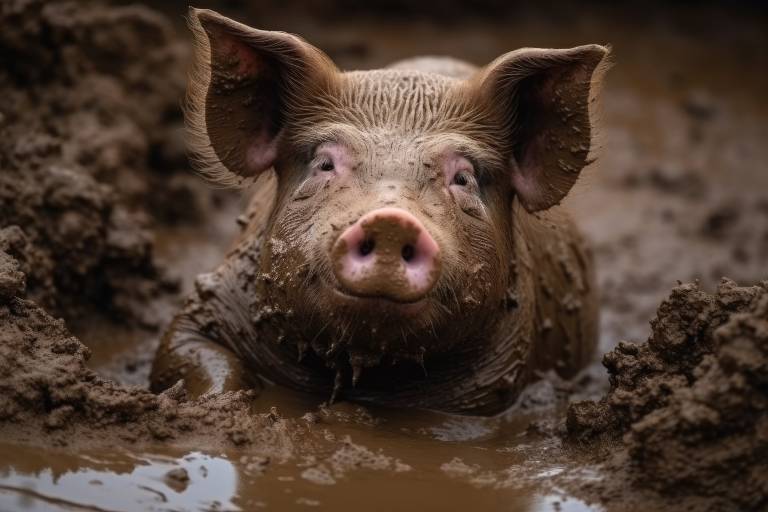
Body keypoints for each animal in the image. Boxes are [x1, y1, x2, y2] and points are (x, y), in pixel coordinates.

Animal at [149, 8, 608, 415]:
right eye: (325, 163)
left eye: (463, 178)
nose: (391, 221)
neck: (360, 360)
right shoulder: (206, 309)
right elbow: (195, 358)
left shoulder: (494, 382)